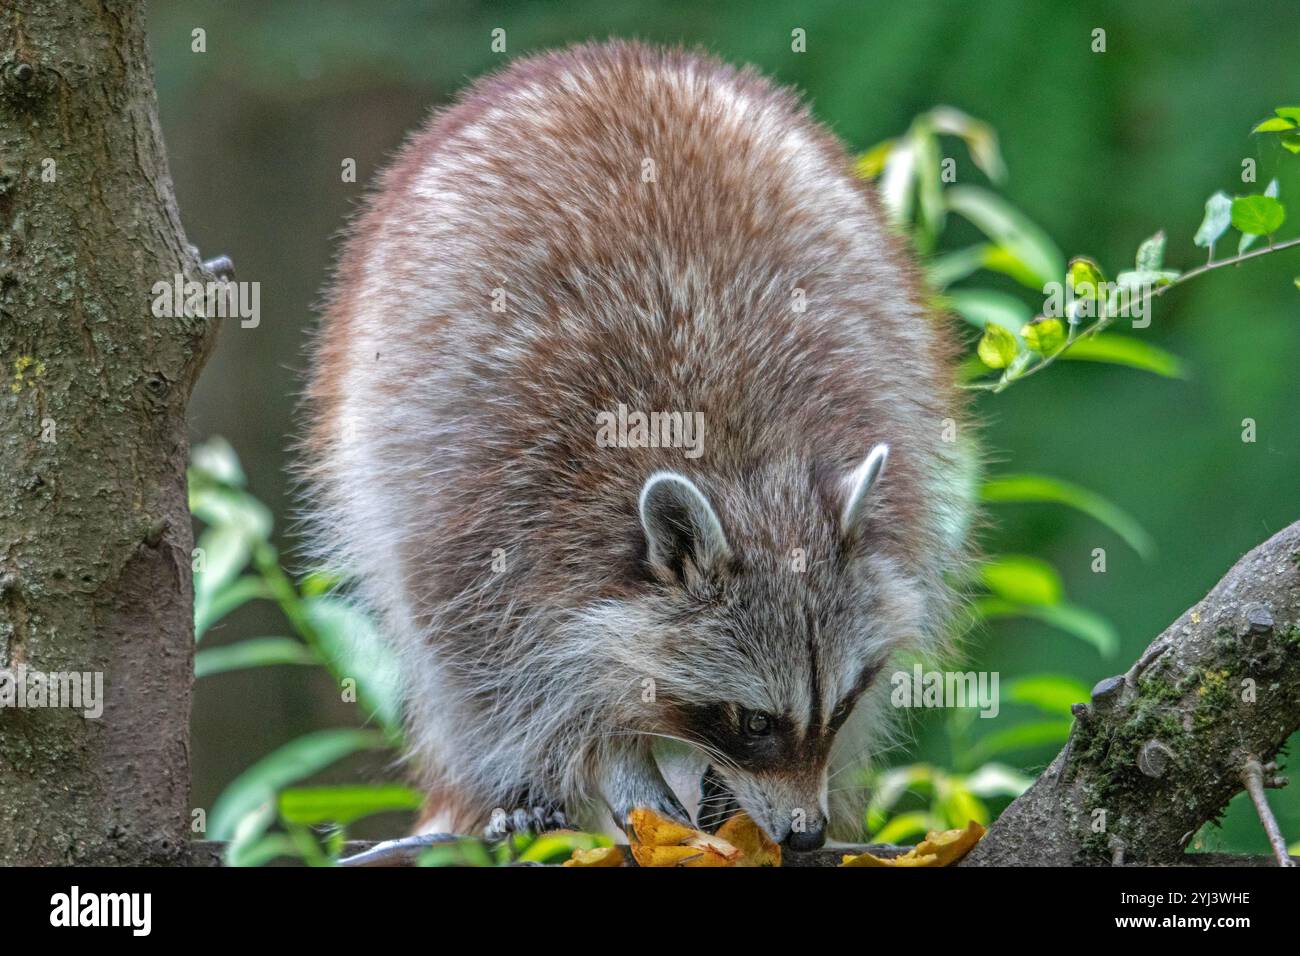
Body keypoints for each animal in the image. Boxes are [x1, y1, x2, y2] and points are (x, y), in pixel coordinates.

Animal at [304, 41, 972, 850]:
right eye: (755, 722)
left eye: (838, 707)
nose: (807, 835)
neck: (741, 463)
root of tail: (613, 58)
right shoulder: (493, 507)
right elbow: (518, 678)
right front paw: (612, 762)